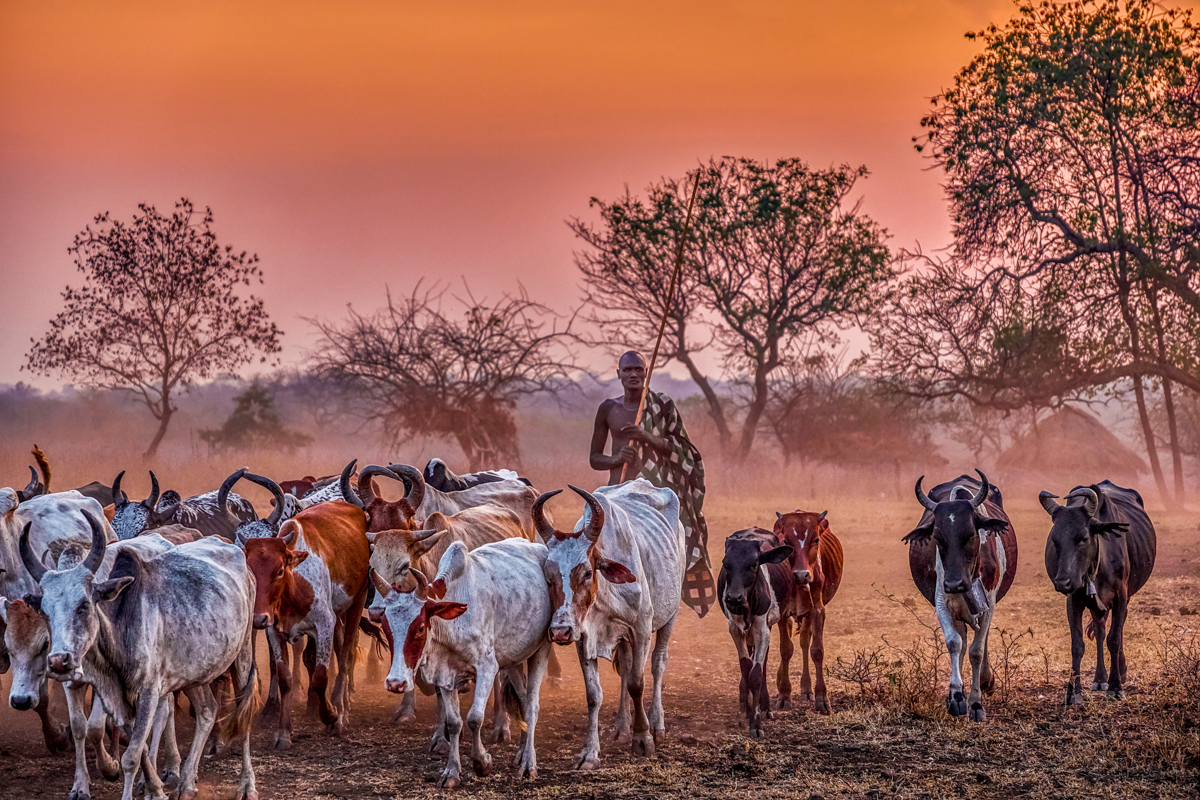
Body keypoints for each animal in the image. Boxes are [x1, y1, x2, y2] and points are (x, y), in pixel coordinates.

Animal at [535, 482, 686, 767]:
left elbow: (637, 684)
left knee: (658, 663)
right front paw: (590, 753)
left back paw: (657, 724)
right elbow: (594, 695)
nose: (560, 631)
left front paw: (643, 739)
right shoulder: (584, 639)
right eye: (548, 576)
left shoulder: (641, 628)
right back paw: (622, 727)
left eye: (587, 572)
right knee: (625, 667)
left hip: (670, 615)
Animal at [768, 510, 844, 714]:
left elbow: (816, 650)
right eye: (786, 541)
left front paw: (821, 697)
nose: (801, 575)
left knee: (804, 640)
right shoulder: (783, 611)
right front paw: (784, 695)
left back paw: (807, 688)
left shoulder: (817, 609)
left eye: (816, 540)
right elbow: (786, 649)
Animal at [1041, 482, 1152, 700]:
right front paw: (1073, 692)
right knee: (1100, 629)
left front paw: (1116, 687)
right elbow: (1077, 645)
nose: (1063, 582)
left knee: (1117, 630)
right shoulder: (1074, 599)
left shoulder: (1120, 597)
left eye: (1084, 538)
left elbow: (1114, 639)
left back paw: (1119, 672)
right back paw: (1100, 678)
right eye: (1055, 540)